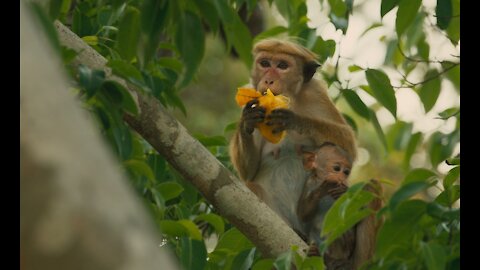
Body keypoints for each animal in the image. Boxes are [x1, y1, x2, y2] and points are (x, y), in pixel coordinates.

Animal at [229, 38, 356, 232]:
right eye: (265, 63)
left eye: (282, 65)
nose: (268, 80)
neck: (291, 99)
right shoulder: (251, 94)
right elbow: (248, 172)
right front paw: (247, 120)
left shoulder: (315, 94)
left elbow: (348, 145)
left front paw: (294, 120)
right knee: (252, 185)